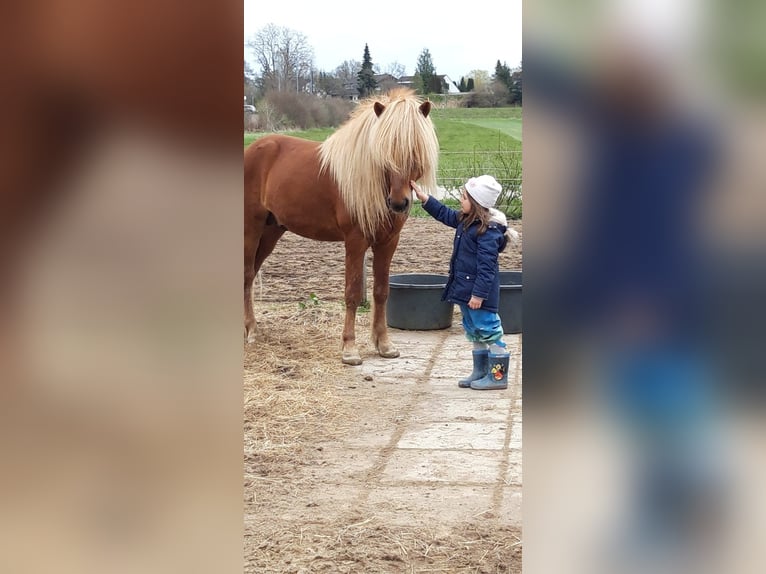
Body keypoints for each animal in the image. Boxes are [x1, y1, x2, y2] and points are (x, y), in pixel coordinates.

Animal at [244, 88, 438, 366]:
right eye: (383, 153)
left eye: (414, 150)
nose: (398, 203)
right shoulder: (355, 241)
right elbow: (352, 293)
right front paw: (349, 349)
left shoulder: (388, 242)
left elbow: (381, 291)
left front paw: (384, 345)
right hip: (251, 228)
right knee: (247, 274)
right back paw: (251, 330)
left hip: (271, 232)